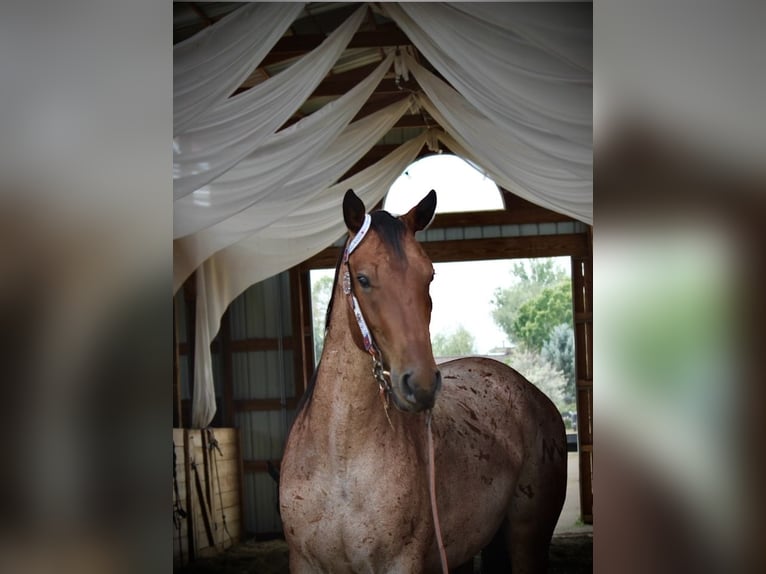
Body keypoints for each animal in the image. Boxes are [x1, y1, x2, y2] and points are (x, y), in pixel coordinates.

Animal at [279, 189, 567, 573]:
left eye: (429, 276)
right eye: (363, 279)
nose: (421, 384)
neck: (340, 463)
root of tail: (535, 396)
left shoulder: (401, 563)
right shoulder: (304, 563)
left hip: (527, 540)